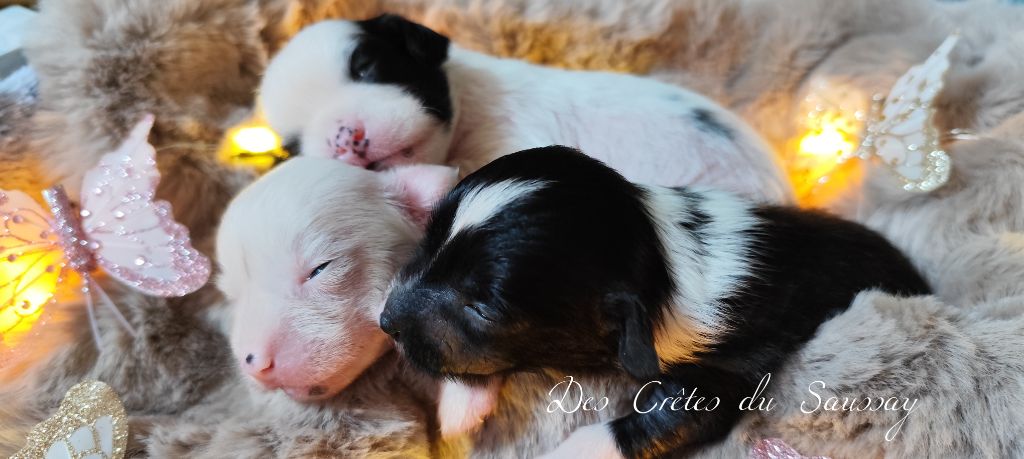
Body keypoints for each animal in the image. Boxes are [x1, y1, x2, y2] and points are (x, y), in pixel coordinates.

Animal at [380, 146, 933, 459]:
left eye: (482, 309)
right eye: (428, 243)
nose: (386, 321)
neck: (662, 262)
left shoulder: (723, 376)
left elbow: (654, 421)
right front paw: (461, 404)